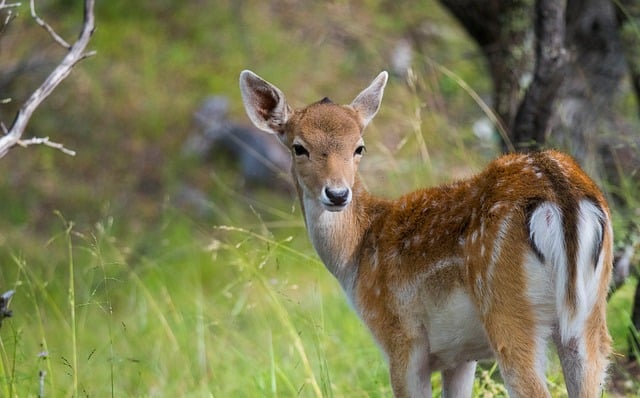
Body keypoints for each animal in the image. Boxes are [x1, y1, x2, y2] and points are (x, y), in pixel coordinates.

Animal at [240, 70, 616, 396]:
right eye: (298, 147)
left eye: (359, 147)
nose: (337, 194)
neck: (355, 259)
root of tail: (558, 189)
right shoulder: (460, 354)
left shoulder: (400, 338)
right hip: (590, 316)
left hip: (509, 310)